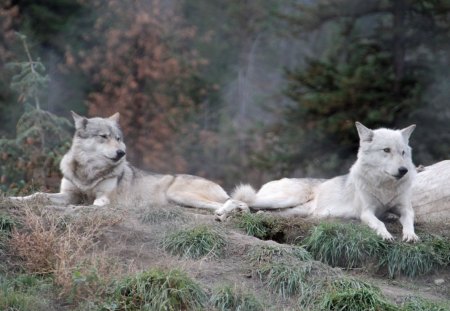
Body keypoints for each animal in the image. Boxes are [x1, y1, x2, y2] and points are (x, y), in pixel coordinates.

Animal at [220, 122, 420, 244]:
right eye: (386, 150)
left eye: (403, 152)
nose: (403, 170)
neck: (385, 186)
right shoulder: (367, 212)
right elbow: (379, 223)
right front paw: (386, 235)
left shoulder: (404, 208)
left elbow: (409, 219)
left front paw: (411, 235)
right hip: (283, 199)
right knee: (236, 199)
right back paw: (222, 214)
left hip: (293, 210)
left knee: (260, 211)